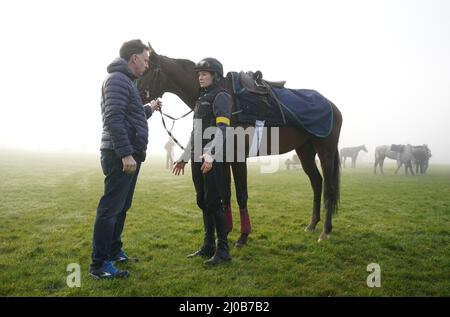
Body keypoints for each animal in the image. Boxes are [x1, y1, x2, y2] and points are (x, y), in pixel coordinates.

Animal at [135, 43, 342, 242]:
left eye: (146, 70)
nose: (134, 92)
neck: (225, 98)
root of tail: (332, 106)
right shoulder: (223, 159)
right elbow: (225, 193)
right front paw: (226, 230)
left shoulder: (238, 158)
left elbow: (241, 195)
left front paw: (243, 236)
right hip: (305, 150)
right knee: (316, 182)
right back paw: (312, 225)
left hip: (325, 151)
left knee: (329, 188)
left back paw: (325, 232)